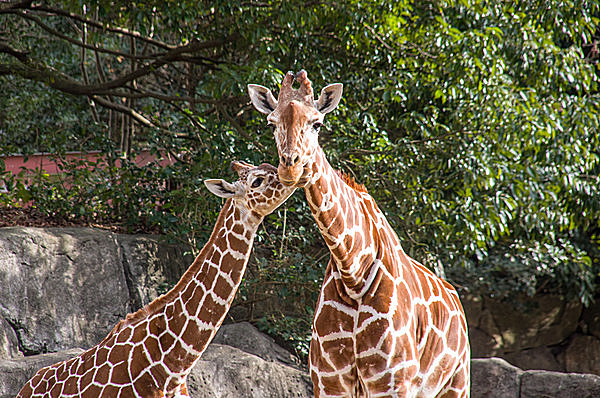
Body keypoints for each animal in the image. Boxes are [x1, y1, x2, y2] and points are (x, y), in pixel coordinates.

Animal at [251, 72, 472, 398]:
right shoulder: (329, 382)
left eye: (317, 123)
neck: (352, 272)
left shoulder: (392, 382)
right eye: (271, 122)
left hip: (456, 383)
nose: (290, 166)